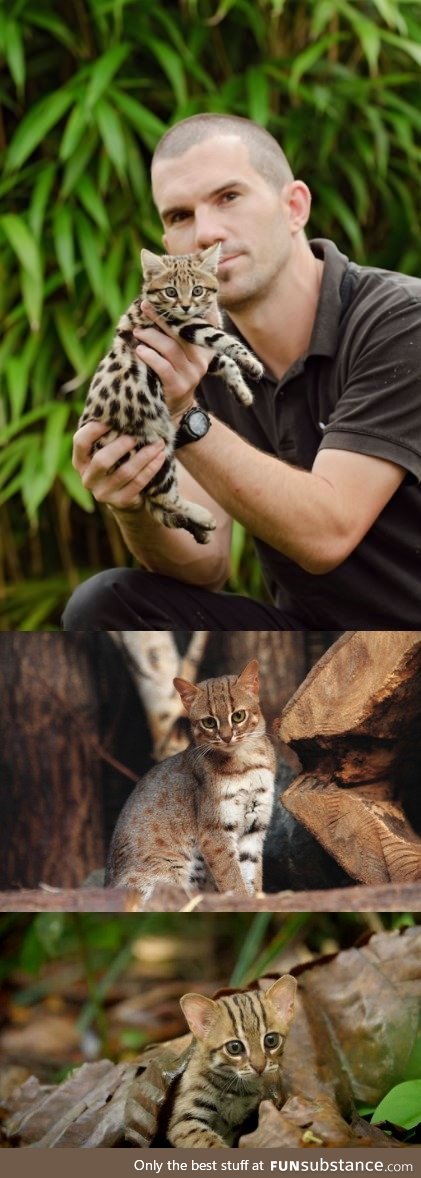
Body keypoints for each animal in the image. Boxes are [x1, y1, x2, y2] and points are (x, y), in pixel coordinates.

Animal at [79, 247, 261, 546]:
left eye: (197, 290)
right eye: (171, 291)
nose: (186, 306)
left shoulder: (202, 352)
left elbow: (223, 361)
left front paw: (243, 390)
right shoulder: (183, 325)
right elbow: (223, 339)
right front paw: (251, 363)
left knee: (157, 504)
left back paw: (198, 529)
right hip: (152, 452)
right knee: (162, 497)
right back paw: (202, 516)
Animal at [104, 659, 275, 895]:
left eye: (238, 716)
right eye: (209, 722)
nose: (226, 737)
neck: (246, 764)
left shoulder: (255, 827)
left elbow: (251, 877)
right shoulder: (214, 833)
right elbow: (232, 879)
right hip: (170, 869)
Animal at [165, 975, 294, 1149]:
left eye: (271, 1040)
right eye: (234, 1047)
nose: (259, 1067)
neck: (235, 1090)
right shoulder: (182, 1122)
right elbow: (208, 1141)